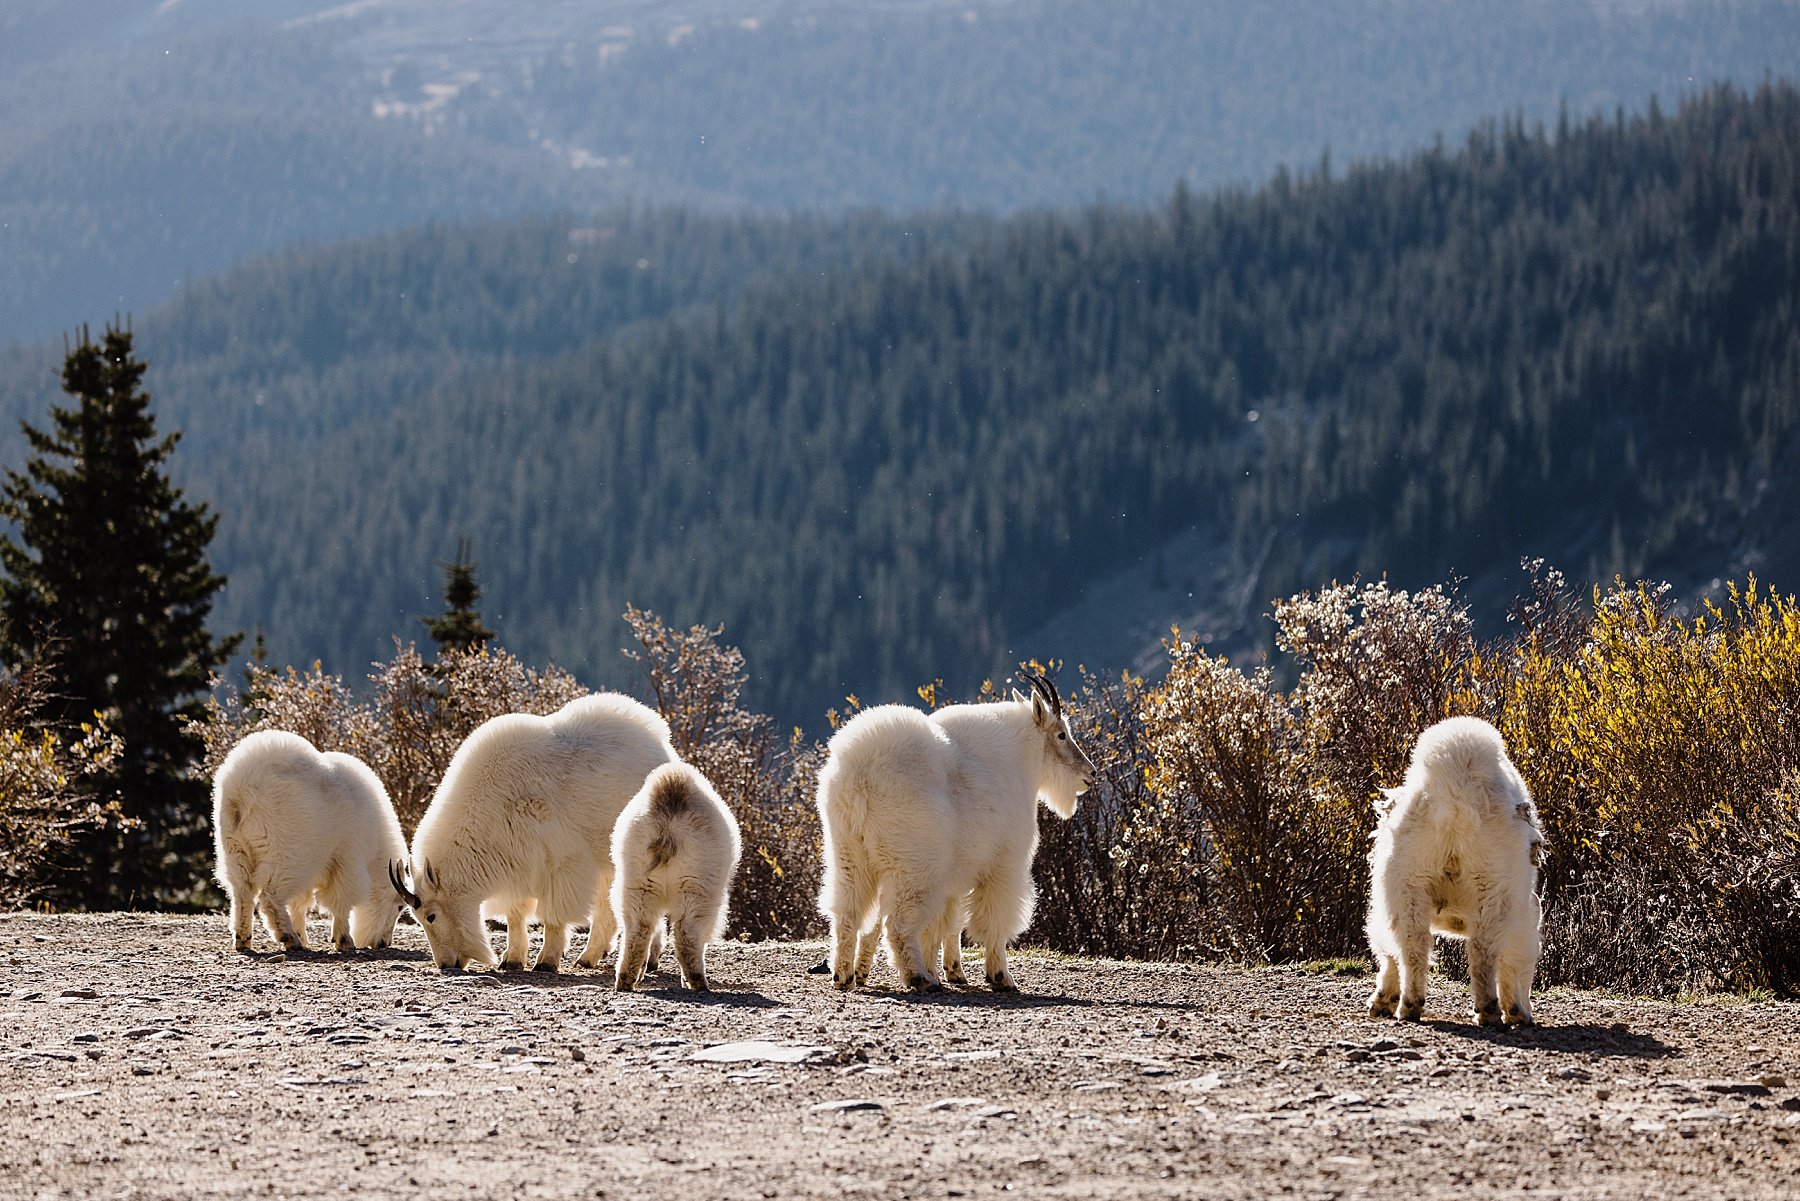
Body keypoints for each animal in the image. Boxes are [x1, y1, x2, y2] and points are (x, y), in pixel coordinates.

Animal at [212, 727, 406, 950]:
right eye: (400, 906)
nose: (383, 943)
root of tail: (242, 789)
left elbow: (300, 902)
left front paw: (305, 936)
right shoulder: (347, 856)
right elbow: (342, 898)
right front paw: (343, 940)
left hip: (234, 845)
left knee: (242, 890)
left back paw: (244, 938)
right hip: (286, 849)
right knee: (270, 895)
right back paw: (288, 937)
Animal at [387, 695, 676, 979]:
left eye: (431, 916)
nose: (447, 963)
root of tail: (662, 745)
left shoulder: (560, 864)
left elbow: (553, 915)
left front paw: (546, 961)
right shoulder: (517, 866)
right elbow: (515, 915)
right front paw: (512, 960)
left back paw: (646, 959)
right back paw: (590, 958)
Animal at [612, 767, 738, 993]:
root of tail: (667, 826)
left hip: (636, 883)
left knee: (638, 929)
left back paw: (626, 979)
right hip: (697, 887)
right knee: (687, 933)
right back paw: (697, 982)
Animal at [820, 673, 1094, 993]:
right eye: (1061, 734)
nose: (1090, 774)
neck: (1019, 761)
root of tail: (859, 777)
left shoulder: (956, 877)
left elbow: (944, 925)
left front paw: (949, 971)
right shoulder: (1003, 865)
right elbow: (993, 922)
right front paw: (1000, 977)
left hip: (848, 854)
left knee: (846, 914)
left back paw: (844, 976)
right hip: (915, 866)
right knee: (897, 924)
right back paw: (919, 978)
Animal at [1360, 720, 1548, 1029]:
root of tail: (1456, 798)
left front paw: (1381, 1002)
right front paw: (1519, 1011)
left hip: (1411, 875)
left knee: (1414, 944)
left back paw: (1411, 1005)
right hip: (1492, 880)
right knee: (1483, 949)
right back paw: (1493, 1010)